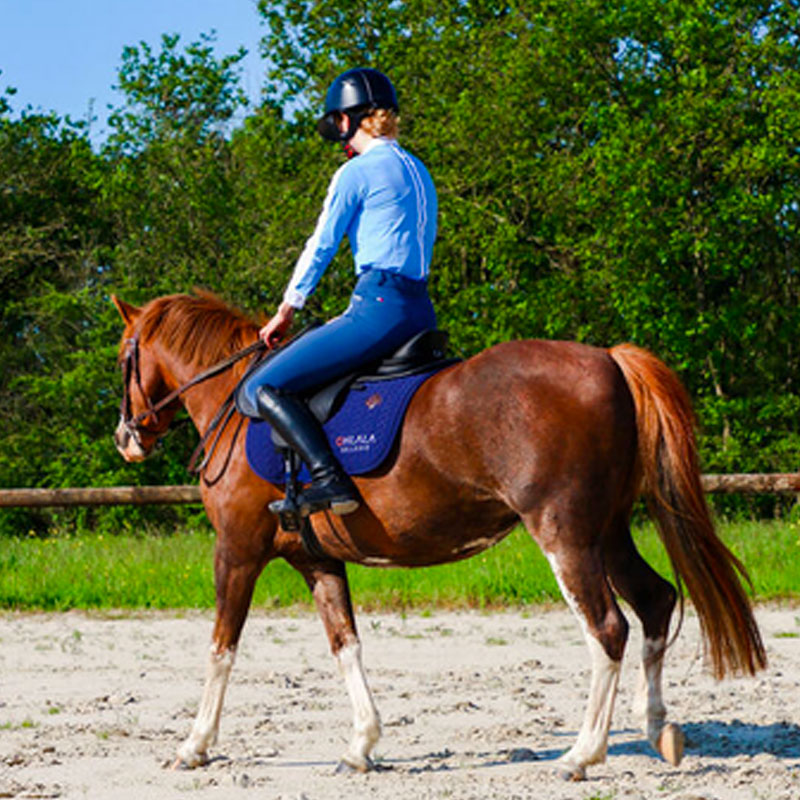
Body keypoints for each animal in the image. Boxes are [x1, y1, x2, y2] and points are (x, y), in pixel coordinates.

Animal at [109, 290, 764, 780]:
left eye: (123, 357)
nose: (126, 437)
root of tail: (607, 359)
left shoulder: (238, 551)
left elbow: (221, 647)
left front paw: (195, 746)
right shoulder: (318, 561)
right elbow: (345, 644)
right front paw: (361, 745)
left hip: (567, 535)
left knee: (607, 628)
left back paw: (582, 753)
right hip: (608, 532)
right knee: (655, 601)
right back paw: (656, 727)